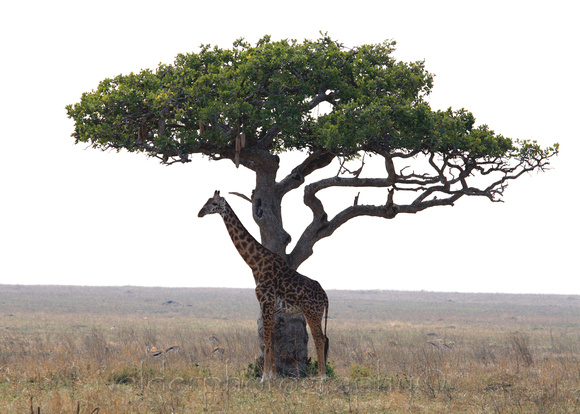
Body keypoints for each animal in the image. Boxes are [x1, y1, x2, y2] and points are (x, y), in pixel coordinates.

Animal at [197, 191, 328, 382]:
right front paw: (272, 375)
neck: (256, 263)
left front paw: (265, 377)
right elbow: (271, 340)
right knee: (322, 338)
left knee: (320, 339)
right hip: (314, 312)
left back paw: (322, 377)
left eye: (214, 203)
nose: (200, 213)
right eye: (205, 201)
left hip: (312, 311)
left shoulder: (266, 301)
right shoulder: (271, 307)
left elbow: (266, 340)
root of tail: (325, 296)